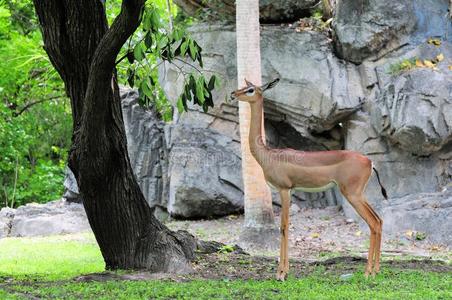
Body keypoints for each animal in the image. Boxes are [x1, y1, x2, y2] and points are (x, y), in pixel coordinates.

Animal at [231, 78, 386, 282]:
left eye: (250, 90)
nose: (233, 94)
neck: (269, 155)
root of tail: (370, 162)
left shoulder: (284, 190)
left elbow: (284, 227)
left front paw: (281, 274)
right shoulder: (291, 190)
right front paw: (284, 271)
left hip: (352, 194)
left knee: (373, 222)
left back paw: (368, 272)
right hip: (359, 194)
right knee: (379, 220)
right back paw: (376, 270)